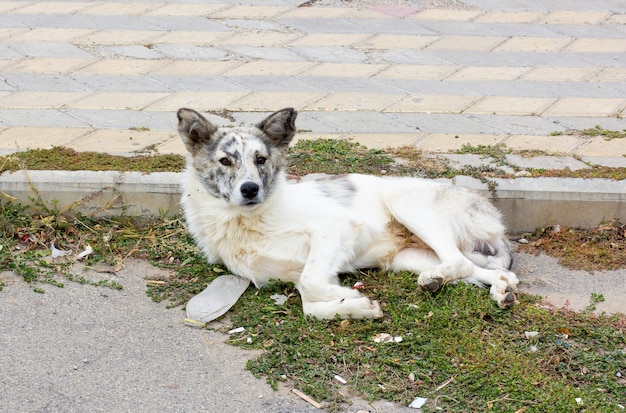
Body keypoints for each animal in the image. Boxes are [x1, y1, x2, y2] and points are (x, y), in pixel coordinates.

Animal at [176, 107, 516, 318]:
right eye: (225, 161)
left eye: (260, 159)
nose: (250, 189)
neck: (249, 222)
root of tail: (490, 211)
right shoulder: (292, 273)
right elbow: (310, 305)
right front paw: (354, 306)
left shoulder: (333, 228)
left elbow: (312, 285)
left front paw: (350, 297)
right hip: (409, 258)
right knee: (491, 271)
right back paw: (500, 290)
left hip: (406, 204)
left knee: (459, 262)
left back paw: (440, 280)